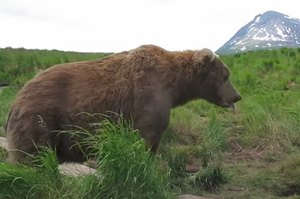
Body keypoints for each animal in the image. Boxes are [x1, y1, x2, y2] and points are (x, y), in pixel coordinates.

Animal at [4, 44, 241, 165]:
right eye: (226, 76)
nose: (237, 96)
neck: (175, 86)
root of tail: (16, 99)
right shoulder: (149, 98)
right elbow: (147, 138)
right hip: (40, 120)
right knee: (33, 158)